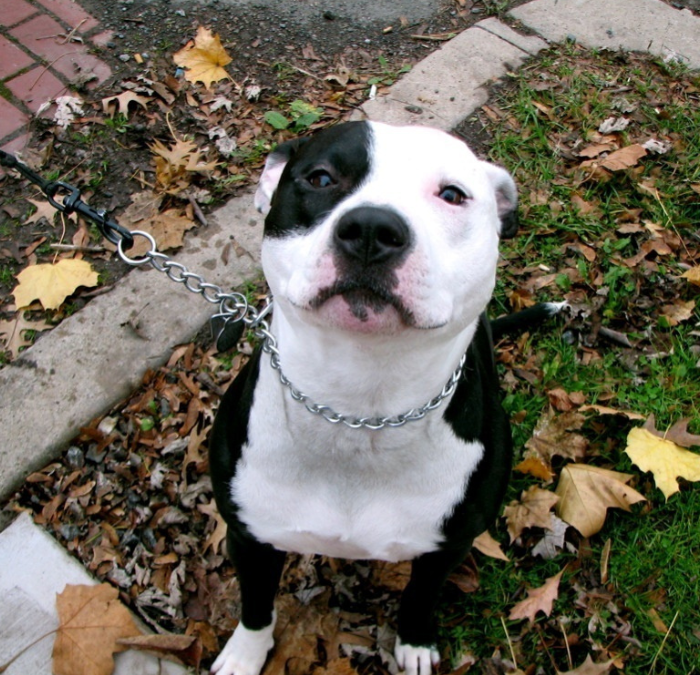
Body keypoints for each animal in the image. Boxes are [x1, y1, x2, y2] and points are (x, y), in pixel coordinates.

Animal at [208, 121, 524, 675]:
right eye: (319, 177)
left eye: (452, 194)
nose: (373, 228)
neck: (357, 411)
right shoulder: (248, 536)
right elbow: (256, 603)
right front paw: (245, 653)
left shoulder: (448, 545)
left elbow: (420, 596)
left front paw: (415, 644)